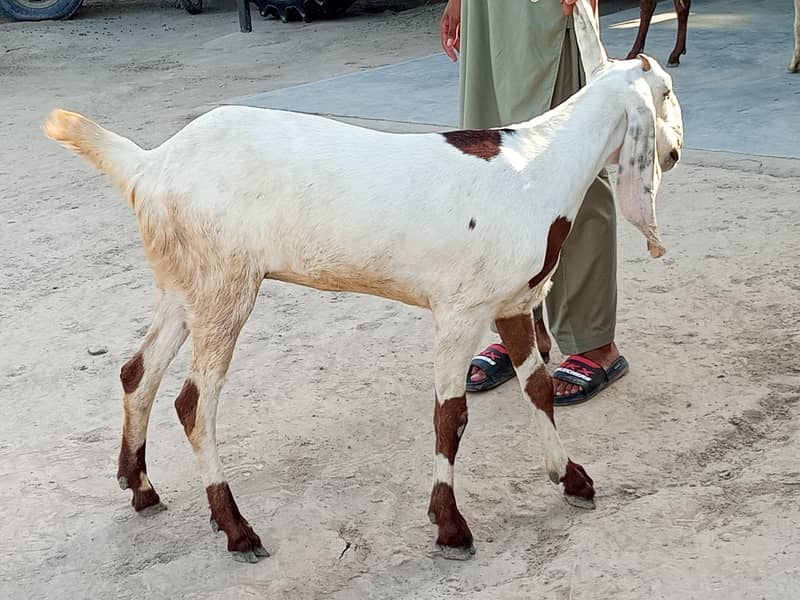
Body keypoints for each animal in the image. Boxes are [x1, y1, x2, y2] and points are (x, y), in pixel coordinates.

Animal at [45, 0, 683, 563]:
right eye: (667, 93)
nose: (675, 152)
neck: (541, 161)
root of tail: (150, 165)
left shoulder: (512, 302)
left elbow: (539, 388)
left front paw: (570, 478)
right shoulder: (459, 310)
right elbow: (449, 417)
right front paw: (450, 526)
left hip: (189, 282)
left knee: (138, 372)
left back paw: (141, 487)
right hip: (226, 284)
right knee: (193, 404)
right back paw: (236, 530)